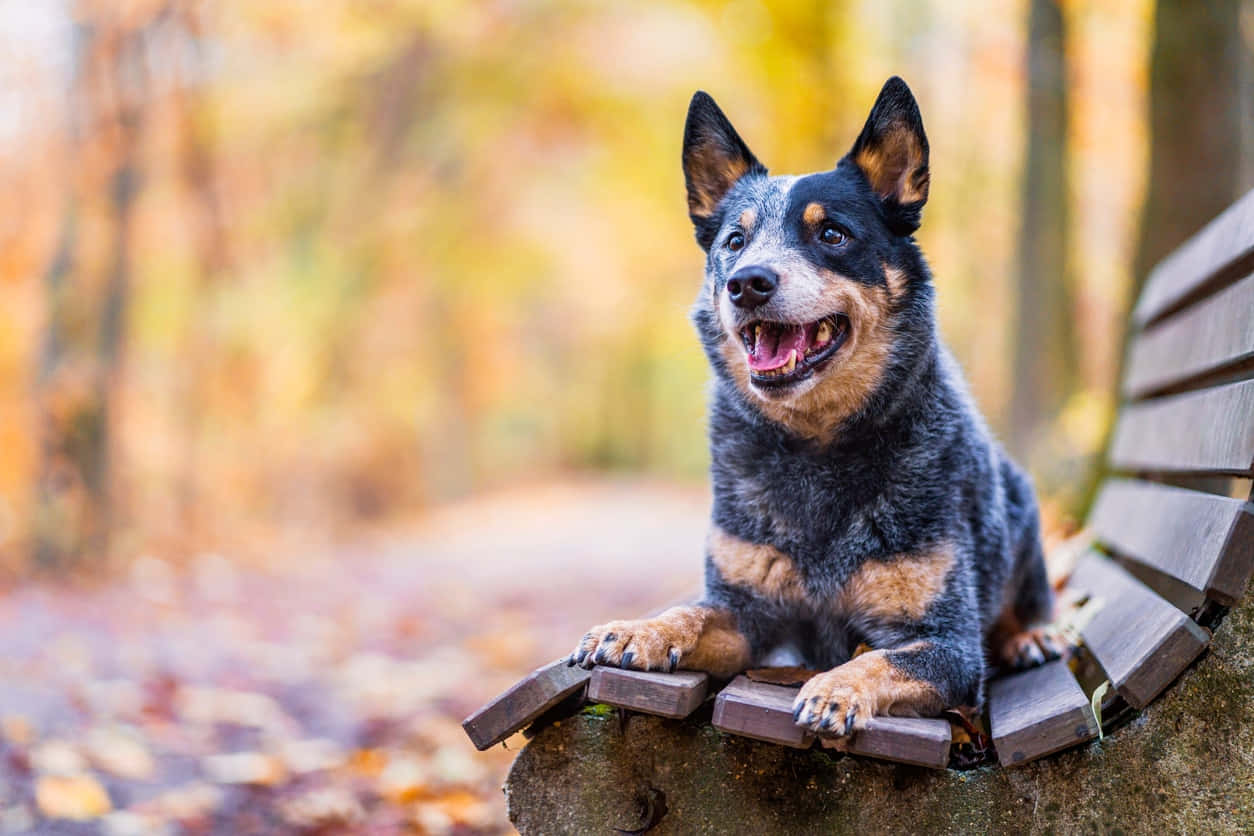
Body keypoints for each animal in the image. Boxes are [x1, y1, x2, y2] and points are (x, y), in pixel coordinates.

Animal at [571, 75, 1058, 736]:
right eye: (735, 240)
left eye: (832, 234)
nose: (747, 282)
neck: (816, 447)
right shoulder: (747, 613)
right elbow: (693, 613)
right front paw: (637, 629)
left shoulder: (948, 642)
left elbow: (879, 658)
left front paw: (835, 687)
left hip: (1022, 511)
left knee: (1027, 599)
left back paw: (1031, 635)